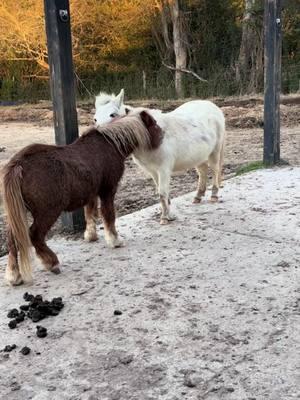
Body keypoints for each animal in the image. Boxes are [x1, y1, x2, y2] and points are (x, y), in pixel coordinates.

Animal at [2, 111, 162, 286]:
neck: (110, 144)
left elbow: (90, 213)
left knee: (12, 239)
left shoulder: (91, 193)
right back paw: (51, 262)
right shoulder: (108, 191)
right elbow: (109, 215)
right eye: (154, 124)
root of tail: (18, 165)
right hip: (47, 212)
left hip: (19, 213)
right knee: (35, 235)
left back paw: (14, 275)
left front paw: (91, 236)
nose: (161, 138)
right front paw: (115, 240)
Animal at [94, 88, 225, 223]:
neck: (149, 136)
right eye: (95, 119)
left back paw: (214, 195)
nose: (100, 139)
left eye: (113, 114)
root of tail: (212, 106)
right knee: (202, 171)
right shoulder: (152, 171)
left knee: (215, 170)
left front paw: (165, 217)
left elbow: (162, 192)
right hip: (198, 156)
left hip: (215, 151)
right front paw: (167, 211)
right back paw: (198, 196)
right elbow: (160, 192)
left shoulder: (164, 169)